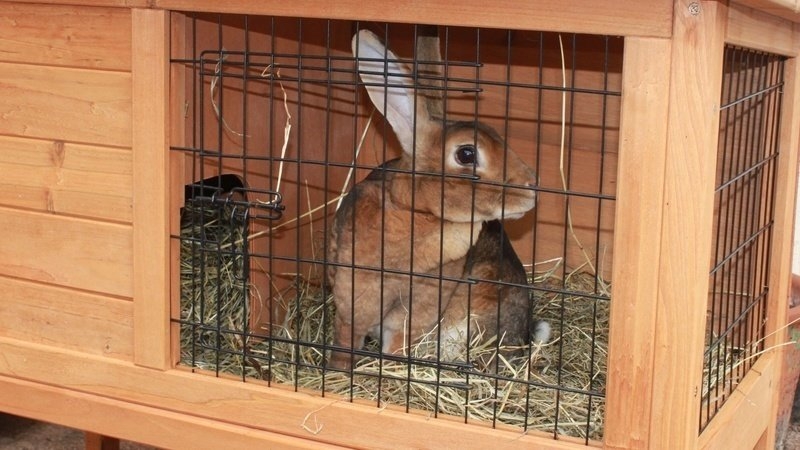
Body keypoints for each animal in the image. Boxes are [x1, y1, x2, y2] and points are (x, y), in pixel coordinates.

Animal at [326, 28, 548, 370]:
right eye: (466, 154)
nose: (531, 188)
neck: (417, 211)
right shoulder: (352, 294)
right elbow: (346, 339)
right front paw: (339, 371)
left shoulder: (419, 307)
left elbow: (397, 342)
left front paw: (388, 370)